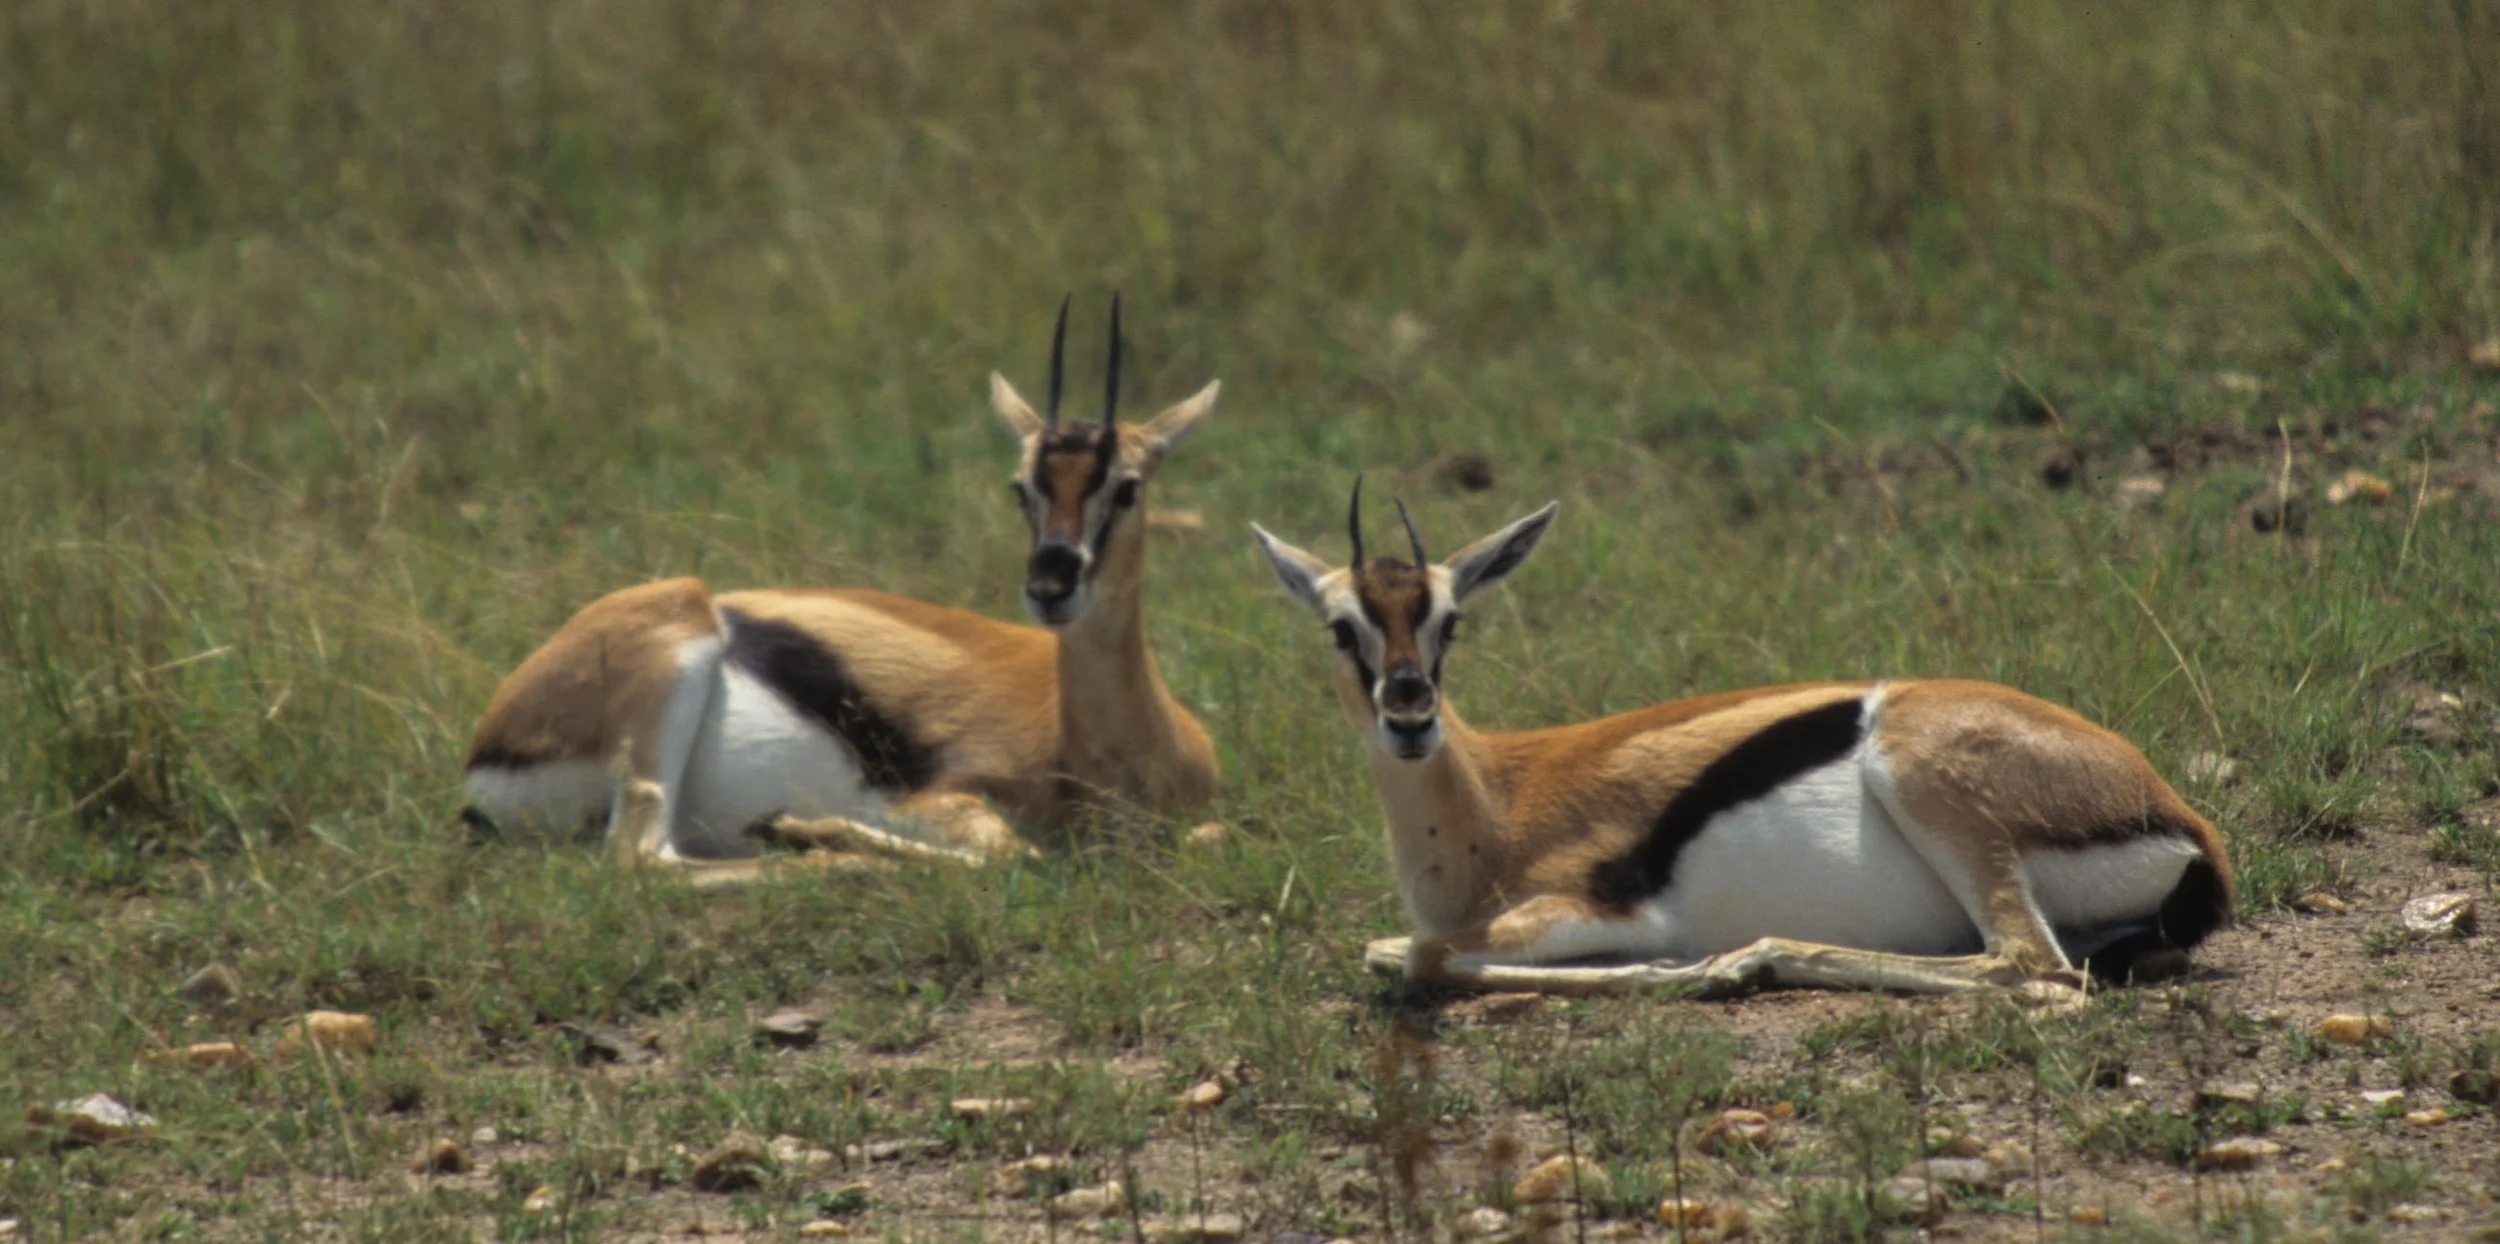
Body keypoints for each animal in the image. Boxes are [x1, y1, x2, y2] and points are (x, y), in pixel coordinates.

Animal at [462, 298, 1221, 880]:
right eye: (1021, 486)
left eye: (1126, 487)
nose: (1050, 585)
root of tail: (488, 744)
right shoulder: (936, 804)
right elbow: (1017, 854)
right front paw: (804, 830)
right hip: (675, 652)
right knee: (645, 860)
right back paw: (806, 840)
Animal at [1250, 483, 2234, 997]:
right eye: (1341, 627)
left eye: (1450, 620)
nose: (1410, 717)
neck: (1492, 802)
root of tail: (2182, 820)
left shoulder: (1584, 907)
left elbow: (1412, 953)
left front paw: (1681, 968)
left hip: (1922, 781)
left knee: (2034, 968)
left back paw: (1751, 958)